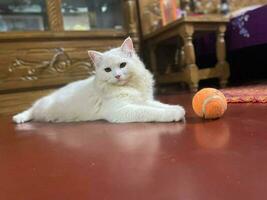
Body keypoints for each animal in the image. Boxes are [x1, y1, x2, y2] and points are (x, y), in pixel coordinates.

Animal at [12, 36, 184, 122]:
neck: (129, 86)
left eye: (122, 65)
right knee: (31, 110)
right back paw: (19, 118)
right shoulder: (122, 110)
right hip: (42, 107)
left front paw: (177, 109)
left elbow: (159, 105)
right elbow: (150, 112)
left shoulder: (143, 100)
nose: (117, 75)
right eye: (107, 70)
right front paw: (172, 115)